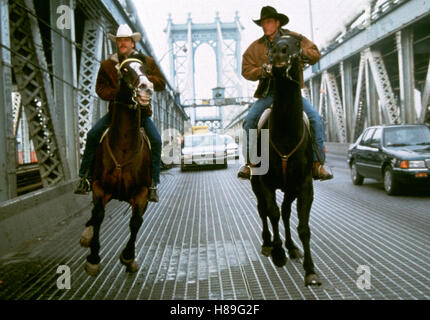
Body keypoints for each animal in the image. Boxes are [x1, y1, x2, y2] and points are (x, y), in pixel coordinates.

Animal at [79, 55, 153, 276]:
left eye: (146, 69)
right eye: (124, 70)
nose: (147, 87)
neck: (124, 147)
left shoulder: (142, 192)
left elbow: (136, 222)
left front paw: (128, 256)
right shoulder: (100, 187)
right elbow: (98, 215)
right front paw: (93, 258)